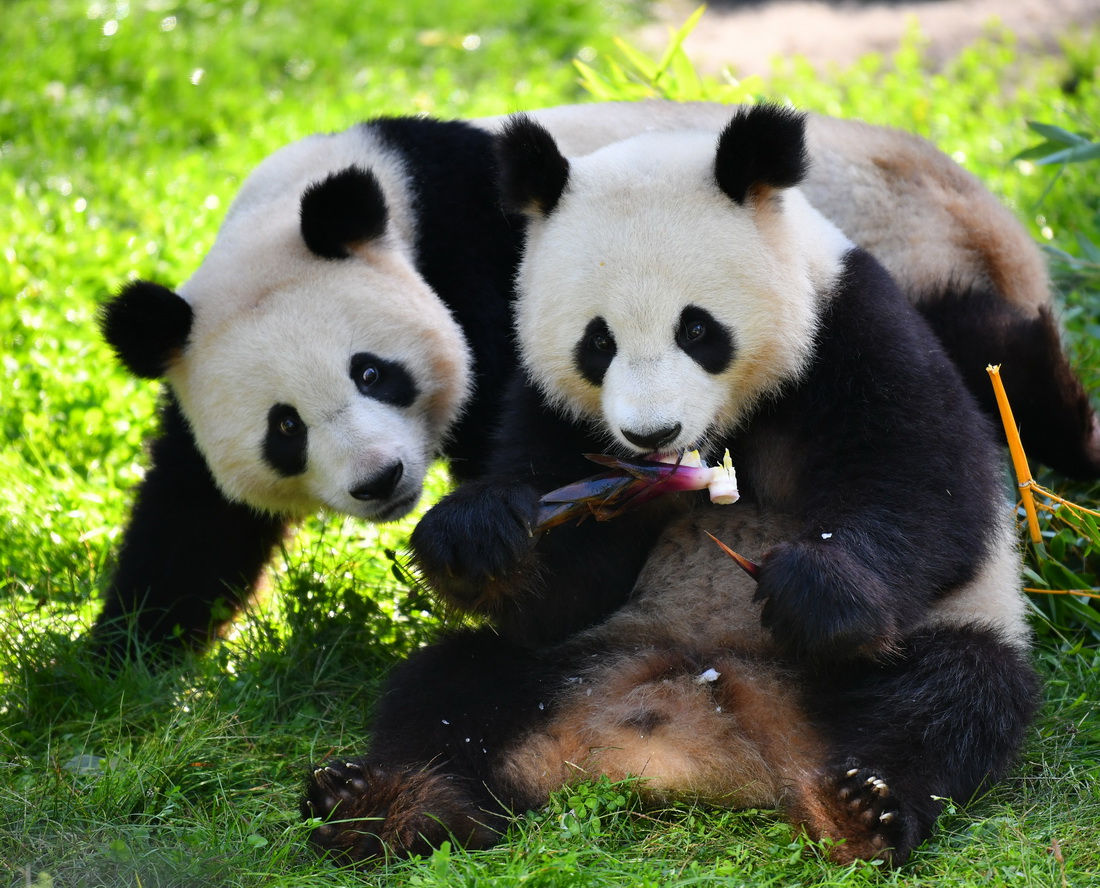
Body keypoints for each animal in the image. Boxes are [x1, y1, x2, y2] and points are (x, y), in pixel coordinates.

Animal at [94, 100, 1091, 660]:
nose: (380, 482)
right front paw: (119, 659)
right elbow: (193, 518)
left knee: (990, 364)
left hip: (912, 246)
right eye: (284, 427)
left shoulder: (483, 269)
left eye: (374, 372)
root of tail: (994, 213)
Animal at [303, 109, 1038, 867]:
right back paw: (390, 805)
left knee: (952, 697)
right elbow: (562, 584)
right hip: (571, 664)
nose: (650, 433)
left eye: (697, 328)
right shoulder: (551, 405)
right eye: (597, 343)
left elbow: (930, 485)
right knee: (448, 688)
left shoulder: (852, 323)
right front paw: (477, 537)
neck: (722, 431)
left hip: (884, 662)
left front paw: (815, 588)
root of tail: (698, 739)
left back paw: (862, 808)